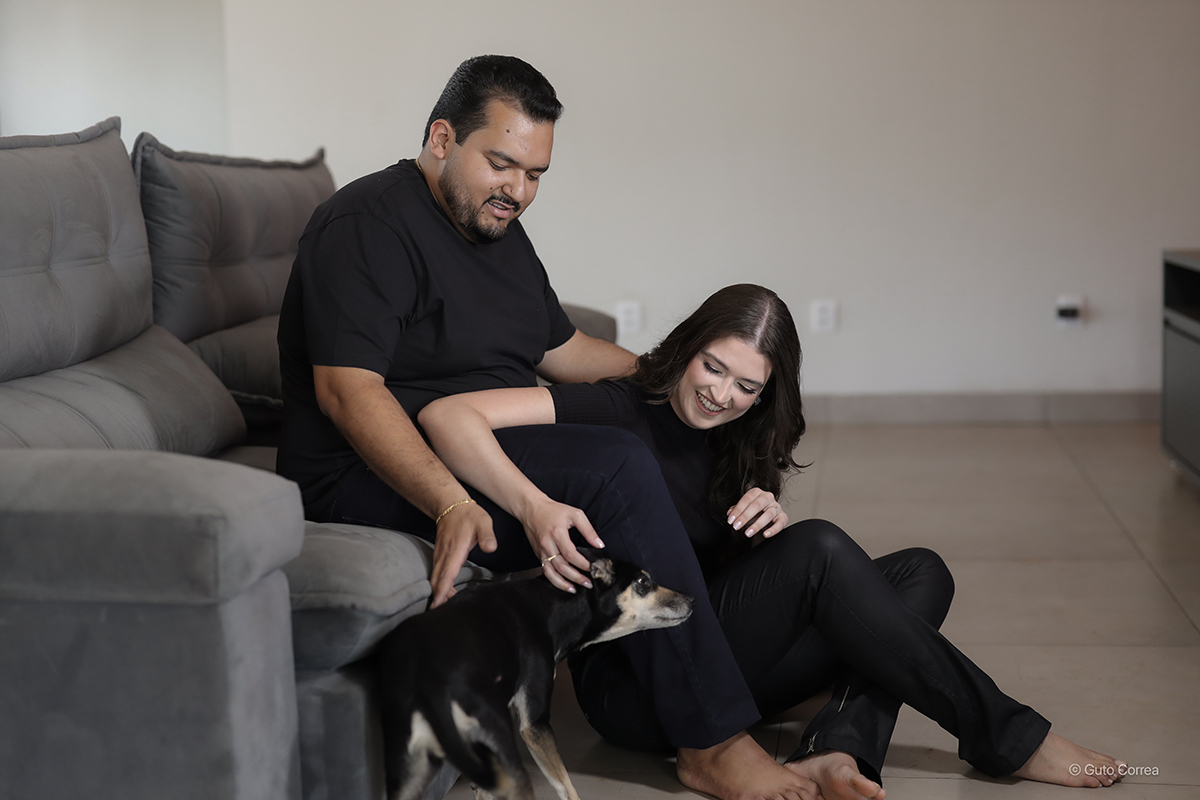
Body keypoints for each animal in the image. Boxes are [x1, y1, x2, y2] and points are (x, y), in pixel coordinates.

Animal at [376, 548, 694, 800]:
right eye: (643, 582)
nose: (692, 601)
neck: (556, 607)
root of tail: (428, 685)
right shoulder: (534, 723)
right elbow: (566, 786)